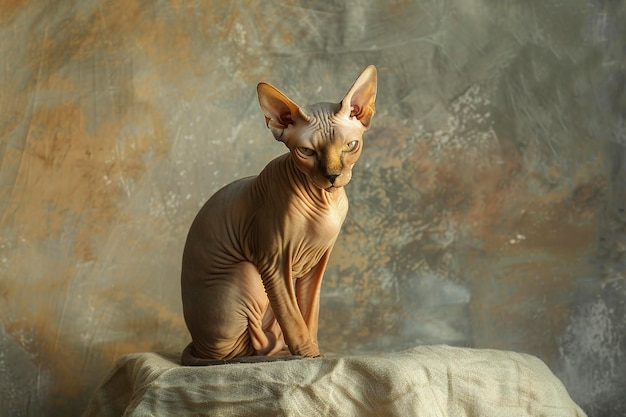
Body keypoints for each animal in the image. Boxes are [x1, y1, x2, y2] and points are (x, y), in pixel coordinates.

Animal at [180, 66, 376, 364]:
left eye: (351, 146)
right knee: (246, 347)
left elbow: (309, 313)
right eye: (306, 151)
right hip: (247, 272)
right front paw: (309, 356)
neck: (324, 203)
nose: (332, 176)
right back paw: (274, 354)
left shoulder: (318, 263)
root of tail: (198, 346)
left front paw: (314, 351)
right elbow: (293, 318)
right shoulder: (273, 262)